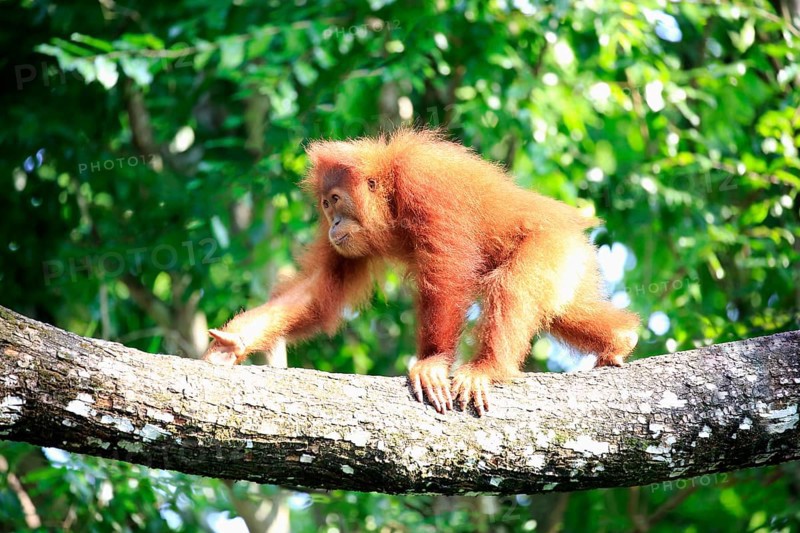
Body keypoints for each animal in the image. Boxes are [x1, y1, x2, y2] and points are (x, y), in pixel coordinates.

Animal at [203, 129, 639, 416]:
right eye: (326, 205)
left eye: (336, 200)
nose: (332, 224)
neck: (392, 191)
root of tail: (575, 229)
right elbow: (320, 289)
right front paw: (234, 341)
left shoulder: (425, 185)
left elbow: (449, 269)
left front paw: (432, 362)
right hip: (568, 264)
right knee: (563, 309)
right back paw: (620, 339)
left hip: (549, 245)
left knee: (513, 286)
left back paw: (487, 368)